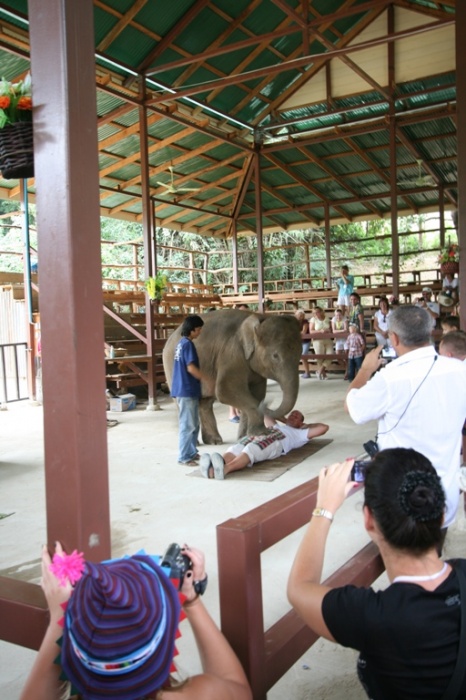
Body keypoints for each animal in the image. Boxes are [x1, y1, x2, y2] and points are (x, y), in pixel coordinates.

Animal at [163, 310, 302, 442]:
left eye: (300, 354)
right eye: (275, 356)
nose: (269, 404)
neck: (258, 317)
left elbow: (257, 393)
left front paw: (244, 437)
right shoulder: (232, 354)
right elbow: (225, 391)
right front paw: (262, 433)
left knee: (205, 403)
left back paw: (214, 441)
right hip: (171, 368)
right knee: (183, 405)